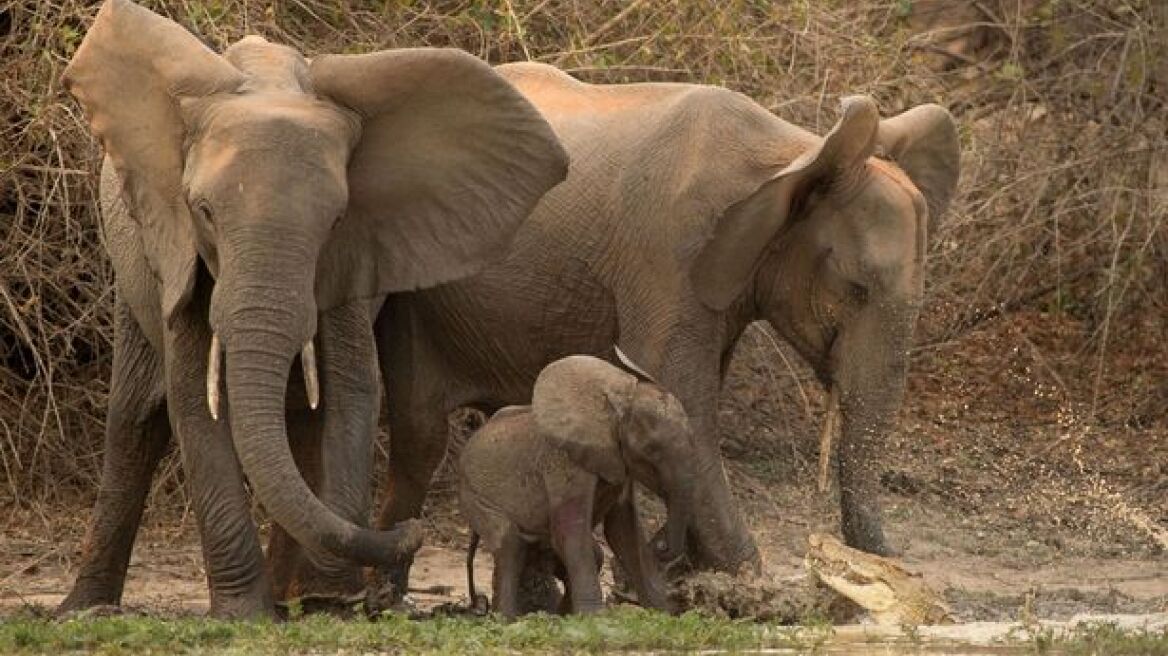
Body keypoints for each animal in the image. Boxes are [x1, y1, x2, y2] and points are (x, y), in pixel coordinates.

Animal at [373, 58, 957, 583]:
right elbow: (682, 393)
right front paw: (746, 584)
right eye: (856, 290)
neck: (794, 154)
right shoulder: (668, 255)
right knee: (421, 436)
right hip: (413, 285)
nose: (886, 564)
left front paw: (694, 576)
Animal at [457, 352, 700, 611]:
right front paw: (595, 616)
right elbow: (571, 530)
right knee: (509, 544)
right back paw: (507, 617)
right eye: (651, 450)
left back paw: (558, 614)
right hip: (474, 497)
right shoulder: (564, 463)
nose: (662, 547)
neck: (613, 408)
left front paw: (662, 612)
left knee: (585, 553)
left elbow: (623, 530)